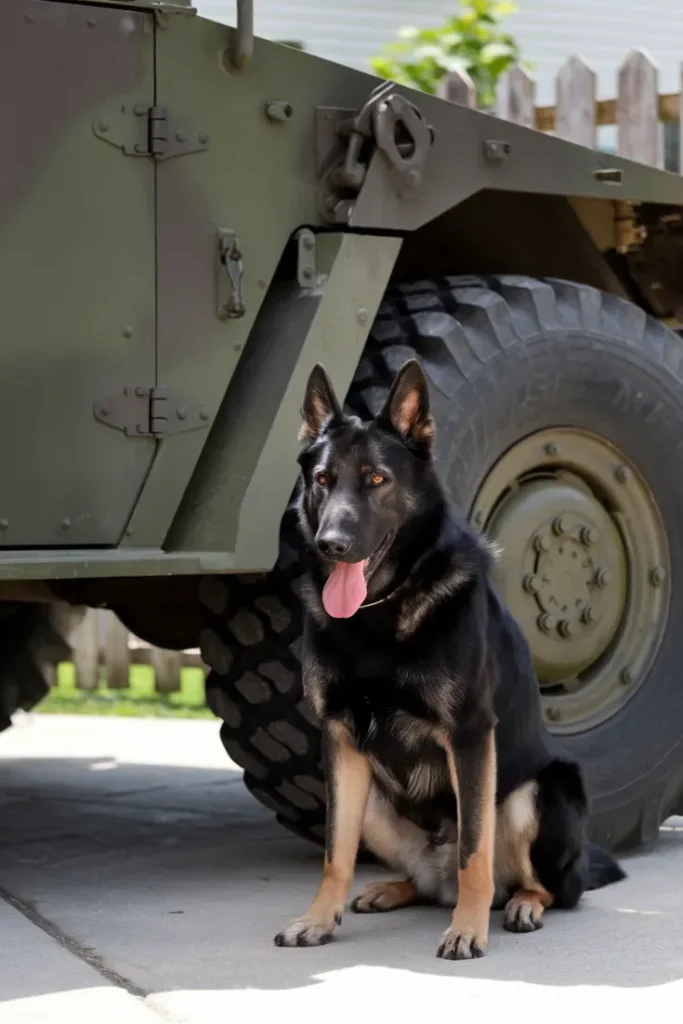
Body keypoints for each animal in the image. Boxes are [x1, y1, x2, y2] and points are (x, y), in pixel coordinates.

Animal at [274, 358, 626, 958]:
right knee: (425, 879)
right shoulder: (340, 743)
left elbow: (473, 851)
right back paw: (393, 889)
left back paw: (521, 904)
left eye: (376, 479)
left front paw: (468, 929)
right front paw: (319, 919)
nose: (331, 544)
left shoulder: (470, 736)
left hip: (538, 791)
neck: (380, 611)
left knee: (546, 885)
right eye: (322, 480)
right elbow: (334, 853)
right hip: (374, 802)